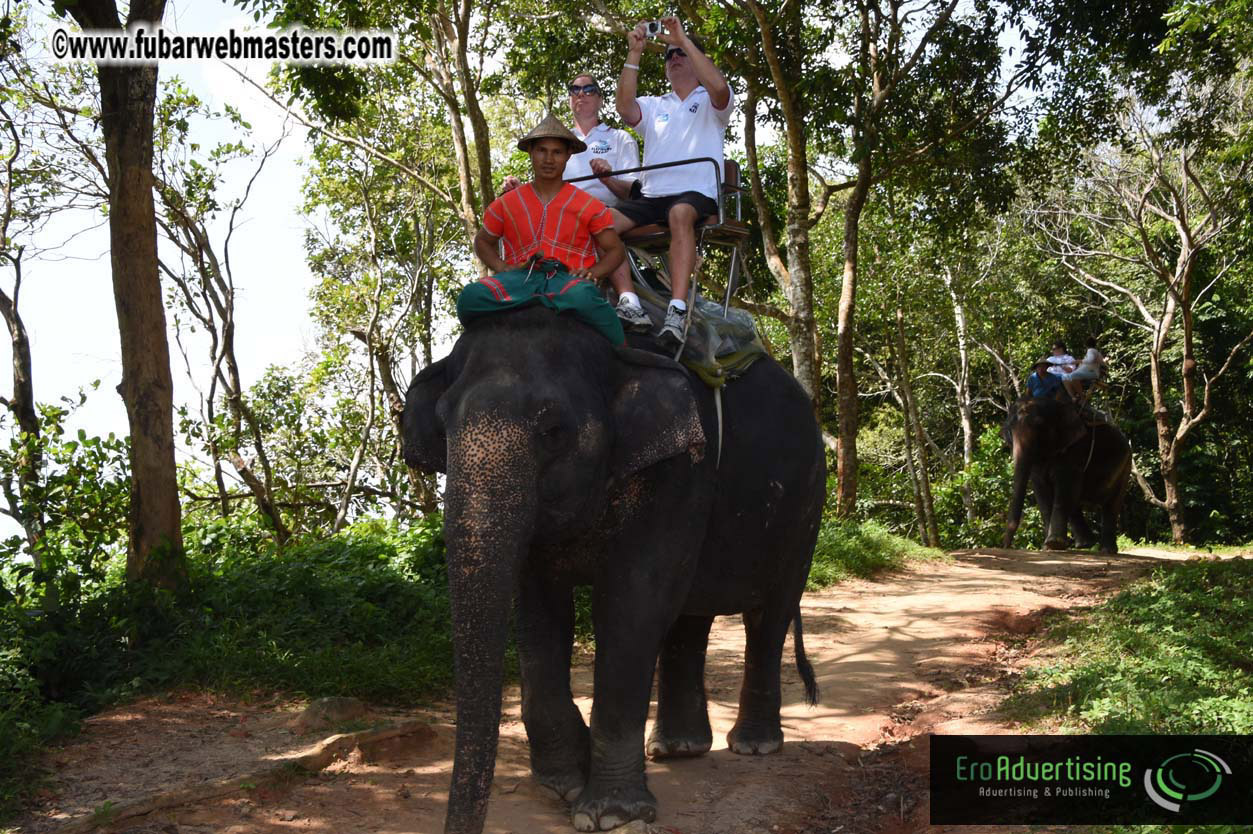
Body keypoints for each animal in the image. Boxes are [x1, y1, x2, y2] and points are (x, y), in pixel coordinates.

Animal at [401, 305, 826, 834]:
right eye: (442, 428)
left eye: (553, 431)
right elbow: (539, 612)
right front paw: (567, 781)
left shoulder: (679, 470)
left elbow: (632, 604)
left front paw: (609, 814)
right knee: (690, 618)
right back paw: (677, 749)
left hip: (806, 509)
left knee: (769, 614)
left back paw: (753, 745)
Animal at [1001, 396, 1131, 554]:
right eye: (1009, 430)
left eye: (1040, 425)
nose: (1005, 546)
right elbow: (1042, 489)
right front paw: (1047, 547)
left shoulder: (1076, 448)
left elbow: (1064, 486)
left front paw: (1053, 545)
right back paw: (1085, 544)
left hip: (1125, 466)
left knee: (1111, 505)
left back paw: (1106, 550)